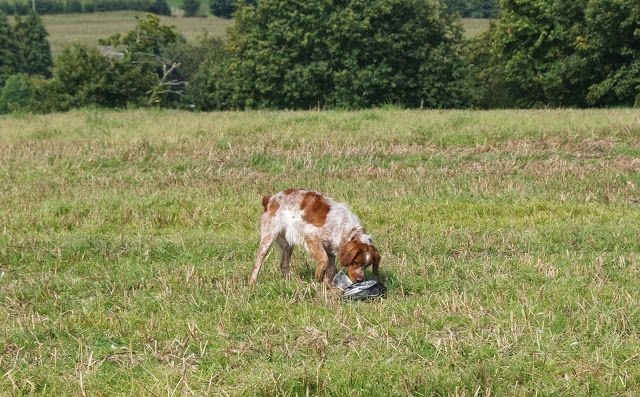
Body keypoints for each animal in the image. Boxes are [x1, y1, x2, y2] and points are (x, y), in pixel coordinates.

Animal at [249, 188, 380, 284]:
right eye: (355, 262)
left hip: (288, 243)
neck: (346, 229)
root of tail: (270, 198)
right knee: (259, 260)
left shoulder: (331, 249)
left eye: (367, 266)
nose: (360, 280)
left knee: (284, 264)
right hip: (269, 236)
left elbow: (331, 270)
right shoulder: (311, 236)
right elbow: (324, 261)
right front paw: (317, 280)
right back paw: (252, 283)